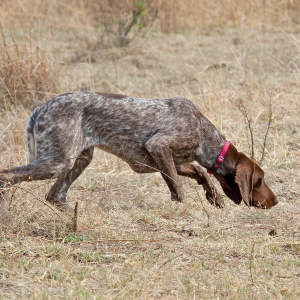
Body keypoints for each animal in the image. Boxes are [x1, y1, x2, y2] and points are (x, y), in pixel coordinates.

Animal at [0, 92, 278, 210]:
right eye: (259, 181)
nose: (276, 201)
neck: (203, 132)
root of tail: (40, 108)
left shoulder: (163, 159)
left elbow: (197, 172)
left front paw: (213, 196)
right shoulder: (159, 146)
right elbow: (180, 187)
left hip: (80, 159)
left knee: (55, 196)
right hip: (58, 161)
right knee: (7, 176)